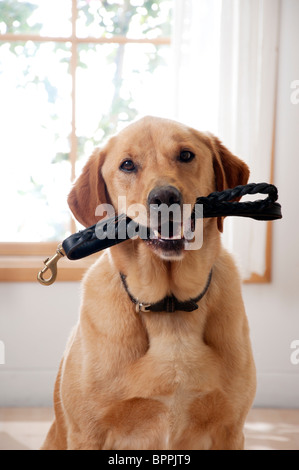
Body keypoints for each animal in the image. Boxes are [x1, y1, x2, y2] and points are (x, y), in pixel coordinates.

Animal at [41, 115, 258, 450]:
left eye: (186, 155)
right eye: (128, 165)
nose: (165, 198)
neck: (170, 306)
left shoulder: (230, 430)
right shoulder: (87, 433)